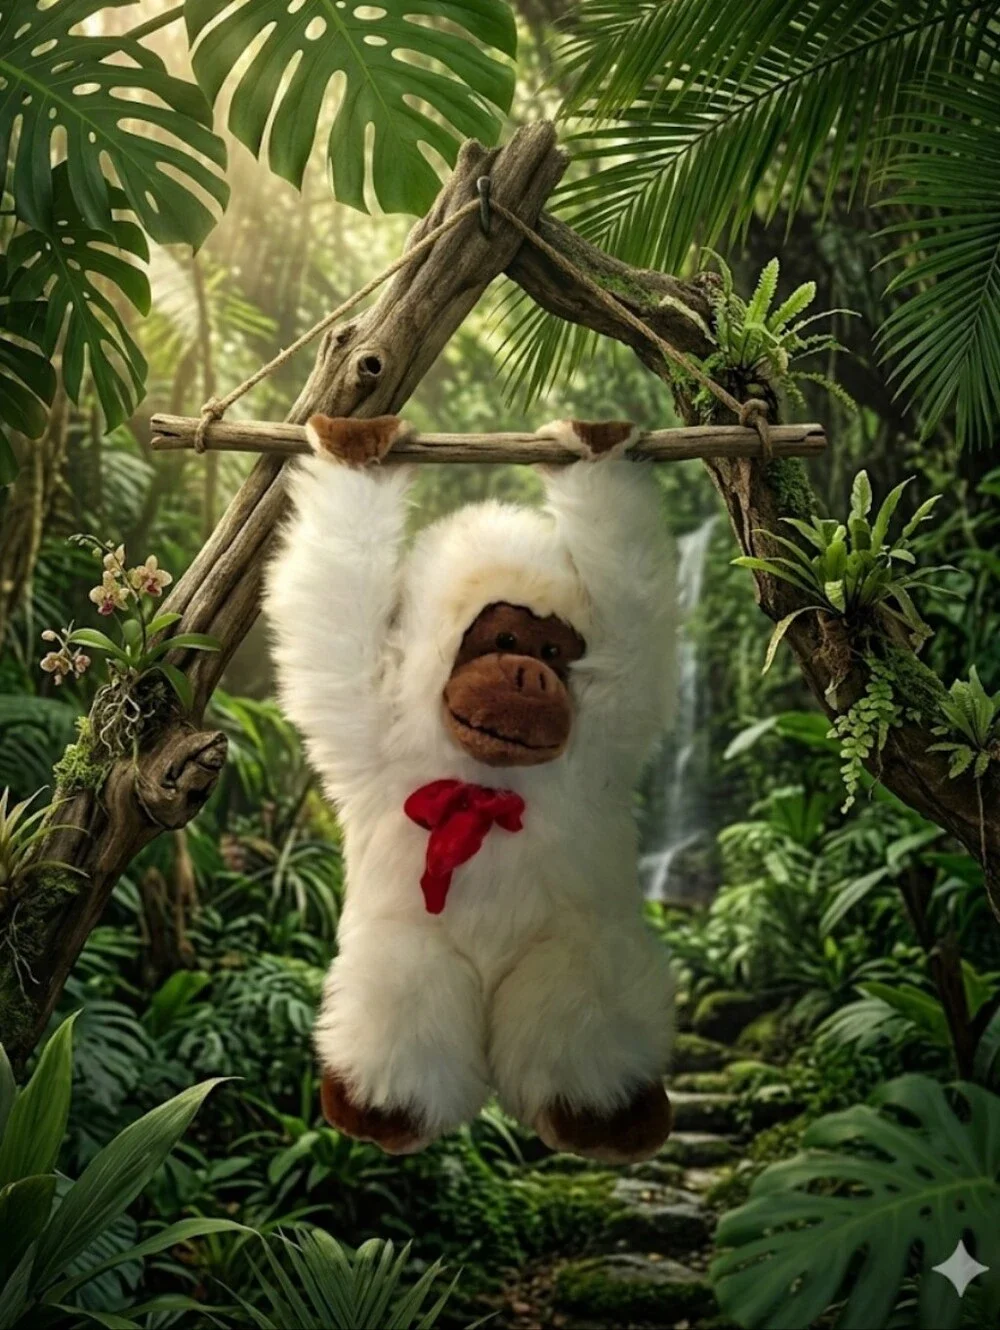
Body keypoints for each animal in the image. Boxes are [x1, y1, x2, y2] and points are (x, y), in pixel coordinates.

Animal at [263, 412, 677, 1163]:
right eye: (505, 639)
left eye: (553, 652)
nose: (530, 678)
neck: (485, 783)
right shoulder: (377, 728)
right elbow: (337, 606)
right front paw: (357, 448)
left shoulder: (606, 730)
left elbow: (633, 613)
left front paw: (593, 446)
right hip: (410, 961)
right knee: (403, 1013)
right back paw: (380, 1107)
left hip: (576, 959)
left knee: (582, 1021)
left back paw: (605, 1115)